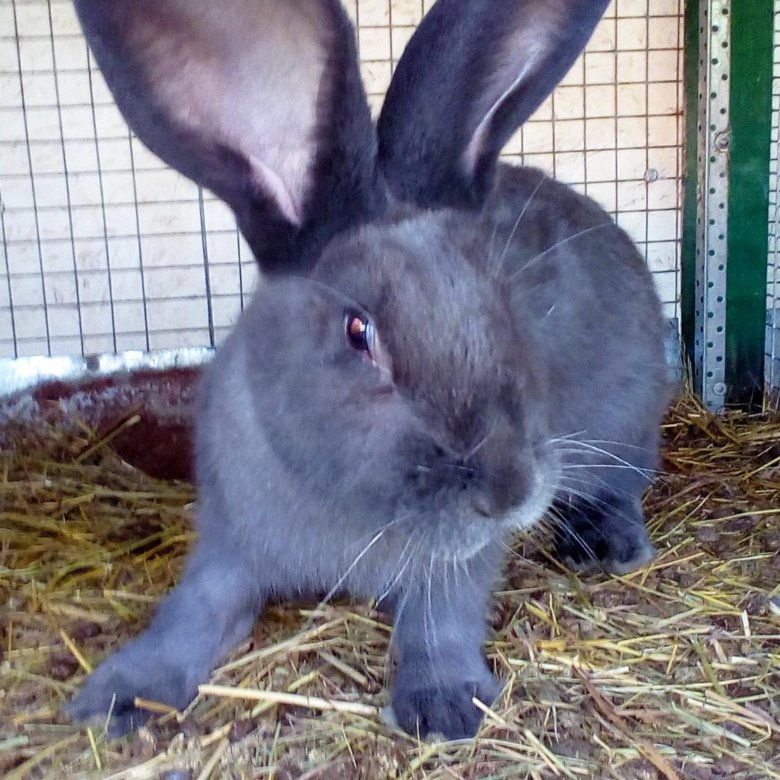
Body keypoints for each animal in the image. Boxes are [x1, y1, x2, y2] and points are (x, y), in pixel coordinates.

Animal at [67, 0, 671, 740]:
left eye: (499, 296)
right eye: (360, 332)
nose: (511, 492)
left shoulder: (457, 567)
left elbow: (440, 620)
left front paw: (444, 705)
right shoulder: (227, 546)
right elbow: (191, 613)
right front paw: (116, 697)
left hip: (626, 419)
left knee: (624, 483)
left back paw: (607, 543)